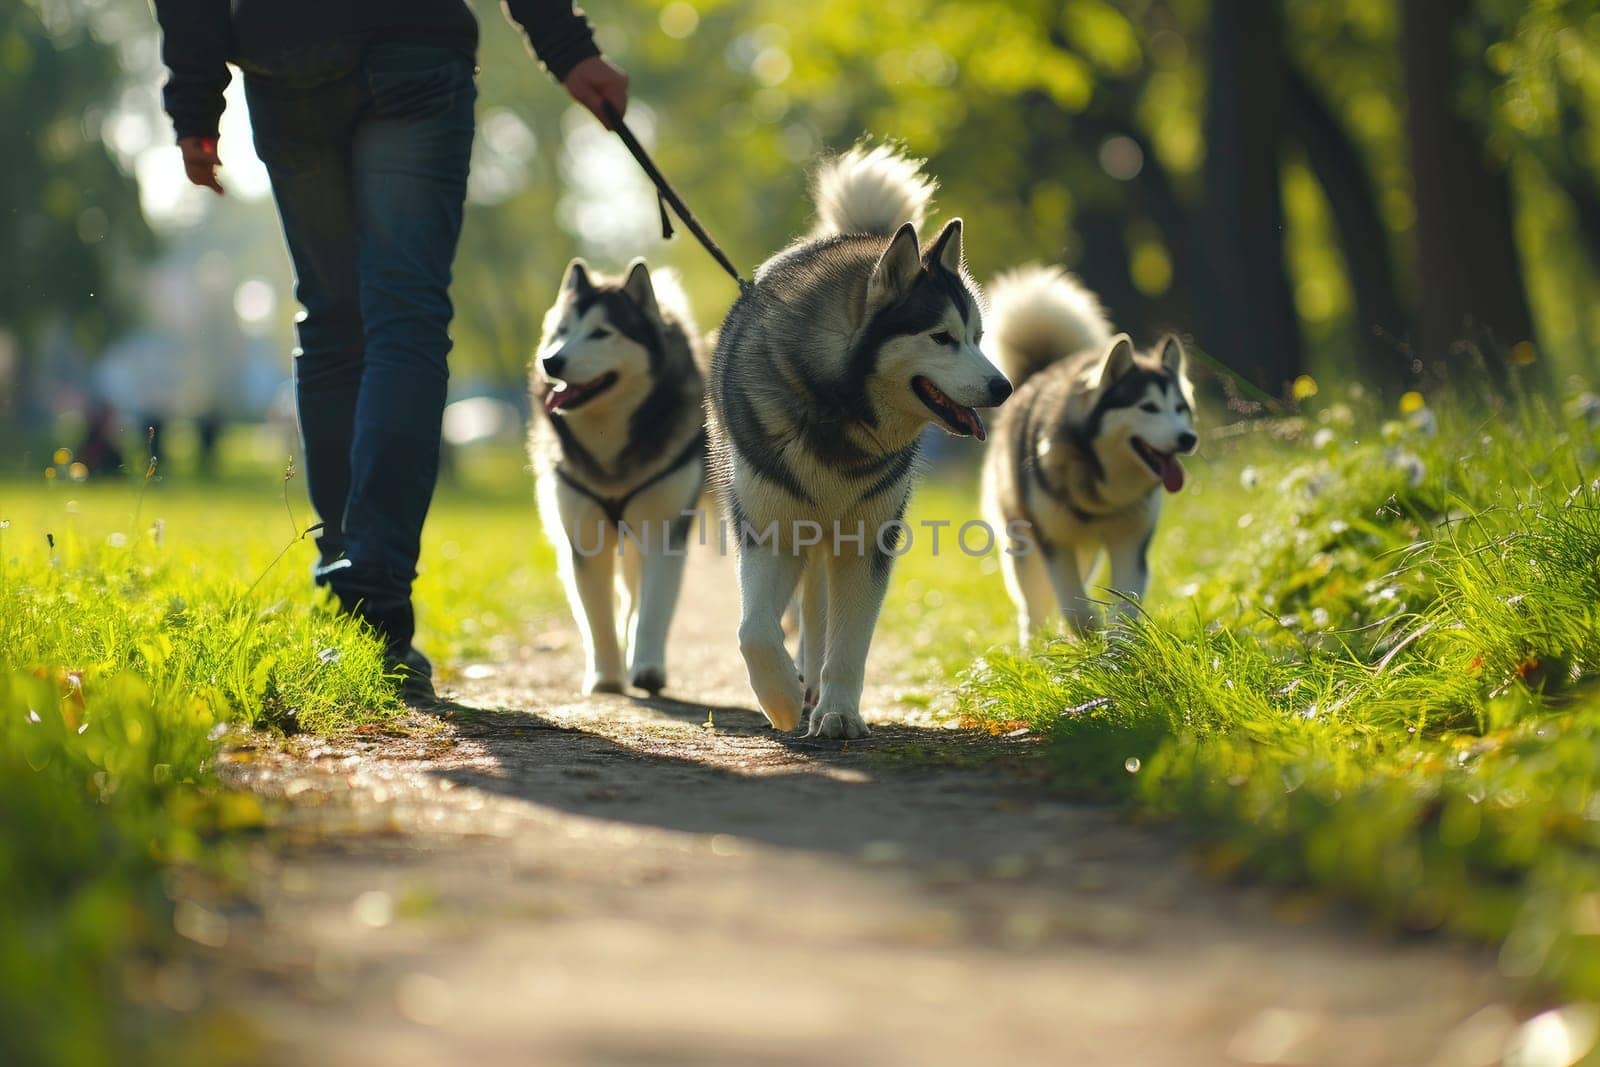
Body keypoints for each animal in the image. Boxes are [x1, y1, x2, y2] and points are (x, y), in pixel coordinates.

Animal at [531, 255, 707, 694]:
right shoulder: (583, 535)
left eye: (601, 333)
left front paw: (646, 667)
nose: (551, 361)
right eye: (562, 331)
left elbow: (655, 607)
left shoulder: (664, 530)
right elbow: (595, 615)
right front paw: (606, 676)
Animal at [713, 146, 1011, 739]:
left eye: (978, 338)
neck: (838, 414)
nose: (1003, 387)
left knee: (820, 616)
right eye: (941, 337)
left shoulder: (866, 539)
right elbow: (753, 629)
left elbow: (849, 643)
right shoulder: (768, 527)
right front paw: (781, 699)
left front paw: (840, 713)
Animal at [979, 265, 1196, 643]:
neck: (1104, 490)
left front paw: (1118, 649)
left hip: (1086, 552)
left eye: (1180, 408)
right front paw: (1088, 639)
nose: (1187, 439)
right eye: (1148, 407)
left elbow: (1125, 606)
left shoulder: (1130, 541)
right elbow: (1076, 609)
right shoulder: (1054, 542)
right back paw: (1034, 647)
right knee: (1033, 607)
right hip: (1025, 546)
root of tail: (1037, 374)